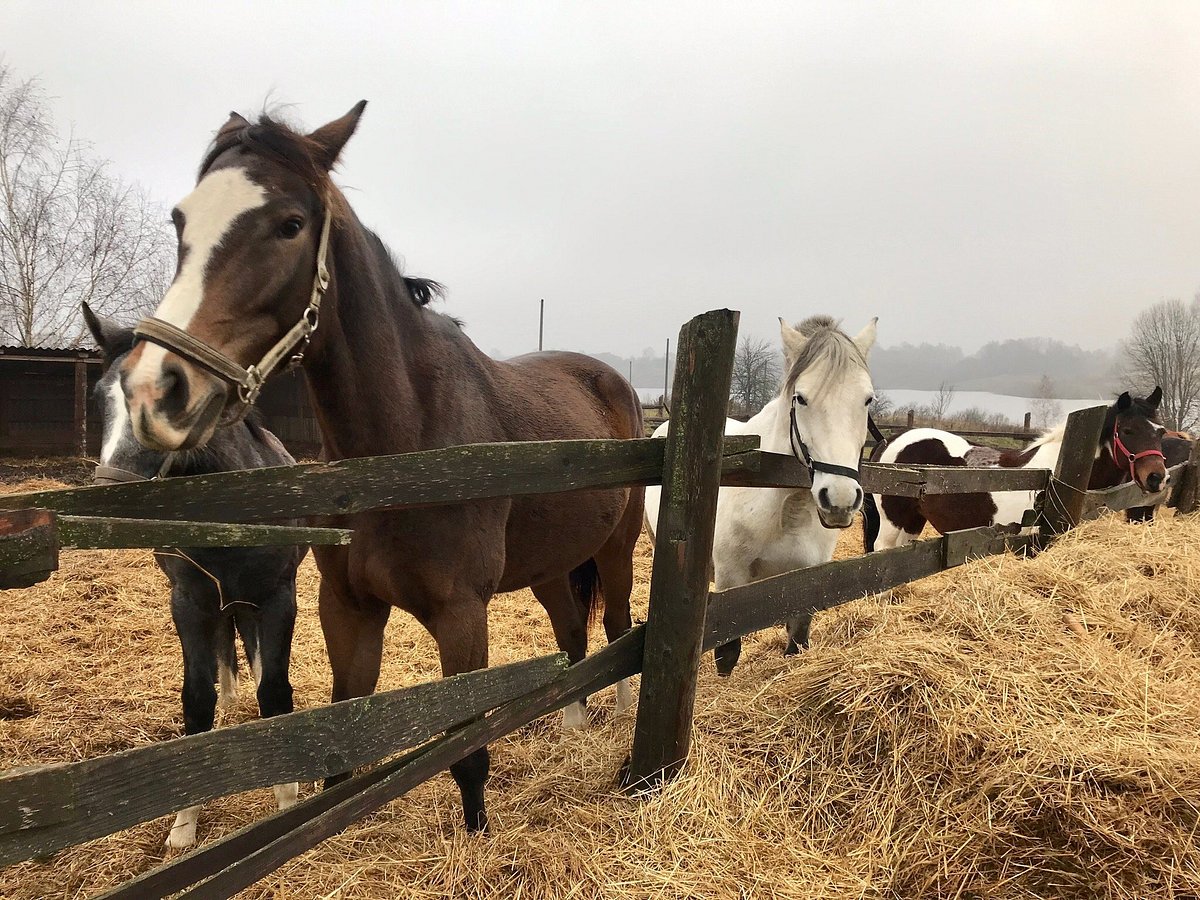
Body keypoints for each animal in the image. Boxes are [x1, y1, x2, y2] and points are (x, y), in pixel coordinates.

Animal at [81, 307, 302, 849]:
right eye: (100, 397)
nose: (109, 499)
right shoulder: (189, 603)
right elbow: (198, 699)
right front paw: (184, 824)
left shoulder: (277, 598)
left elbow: (274, 690)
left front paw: (286, 796)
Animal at [115, 103, 648, 830]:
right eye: (181, 222)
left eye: (290, 224)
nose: (155, 389)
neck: (403, 450)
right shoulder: (348, 607)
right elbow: (343, 739)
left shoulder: (461, 613)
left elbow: (467, 753)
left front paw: (477, 833)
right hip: (550, 563)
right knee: (571, 636)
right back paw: (571, 726)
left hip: (617, 548)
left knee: (618, 626)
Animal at [868, 391, 1166, 554]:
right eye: (1127, 430)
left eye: (1161, 431)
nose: (1157, 477)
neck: (1056, 473)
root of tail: (890, 440)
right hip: (893, 520)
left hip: (913, 520)